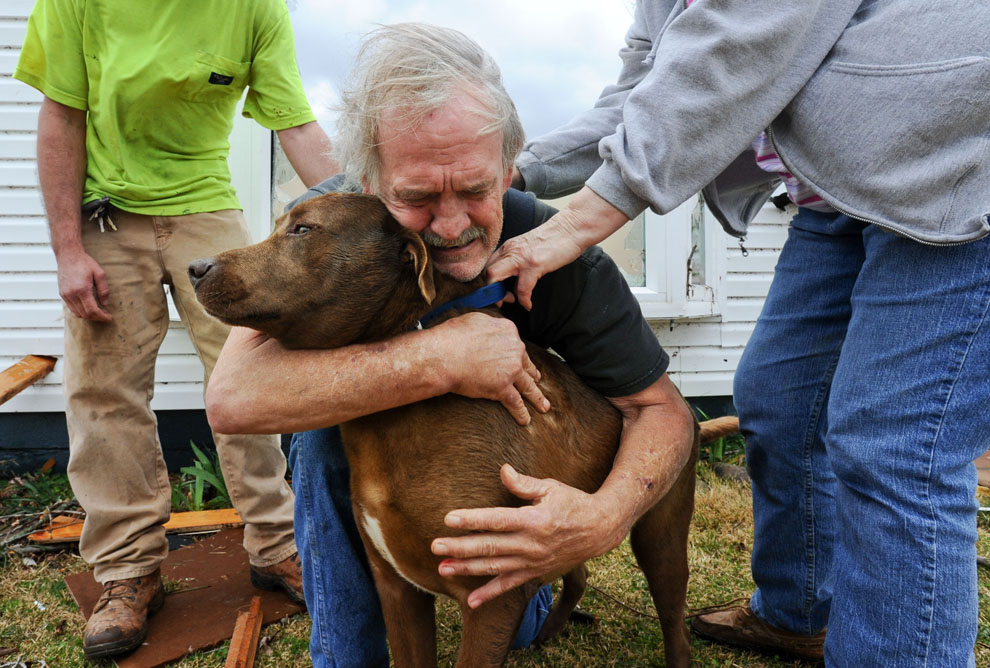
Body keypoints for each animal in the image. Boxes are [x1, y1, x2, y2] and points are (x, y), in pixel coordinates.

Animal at [190, 190, 740, 664]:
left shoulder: (492, 595)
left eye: (304, 229)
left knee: (673, 622)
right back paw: (552, 627)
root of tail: (688, 412)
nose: (195, 267)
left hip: (660, 533)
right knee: (577, 568)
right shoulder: (398, 590)